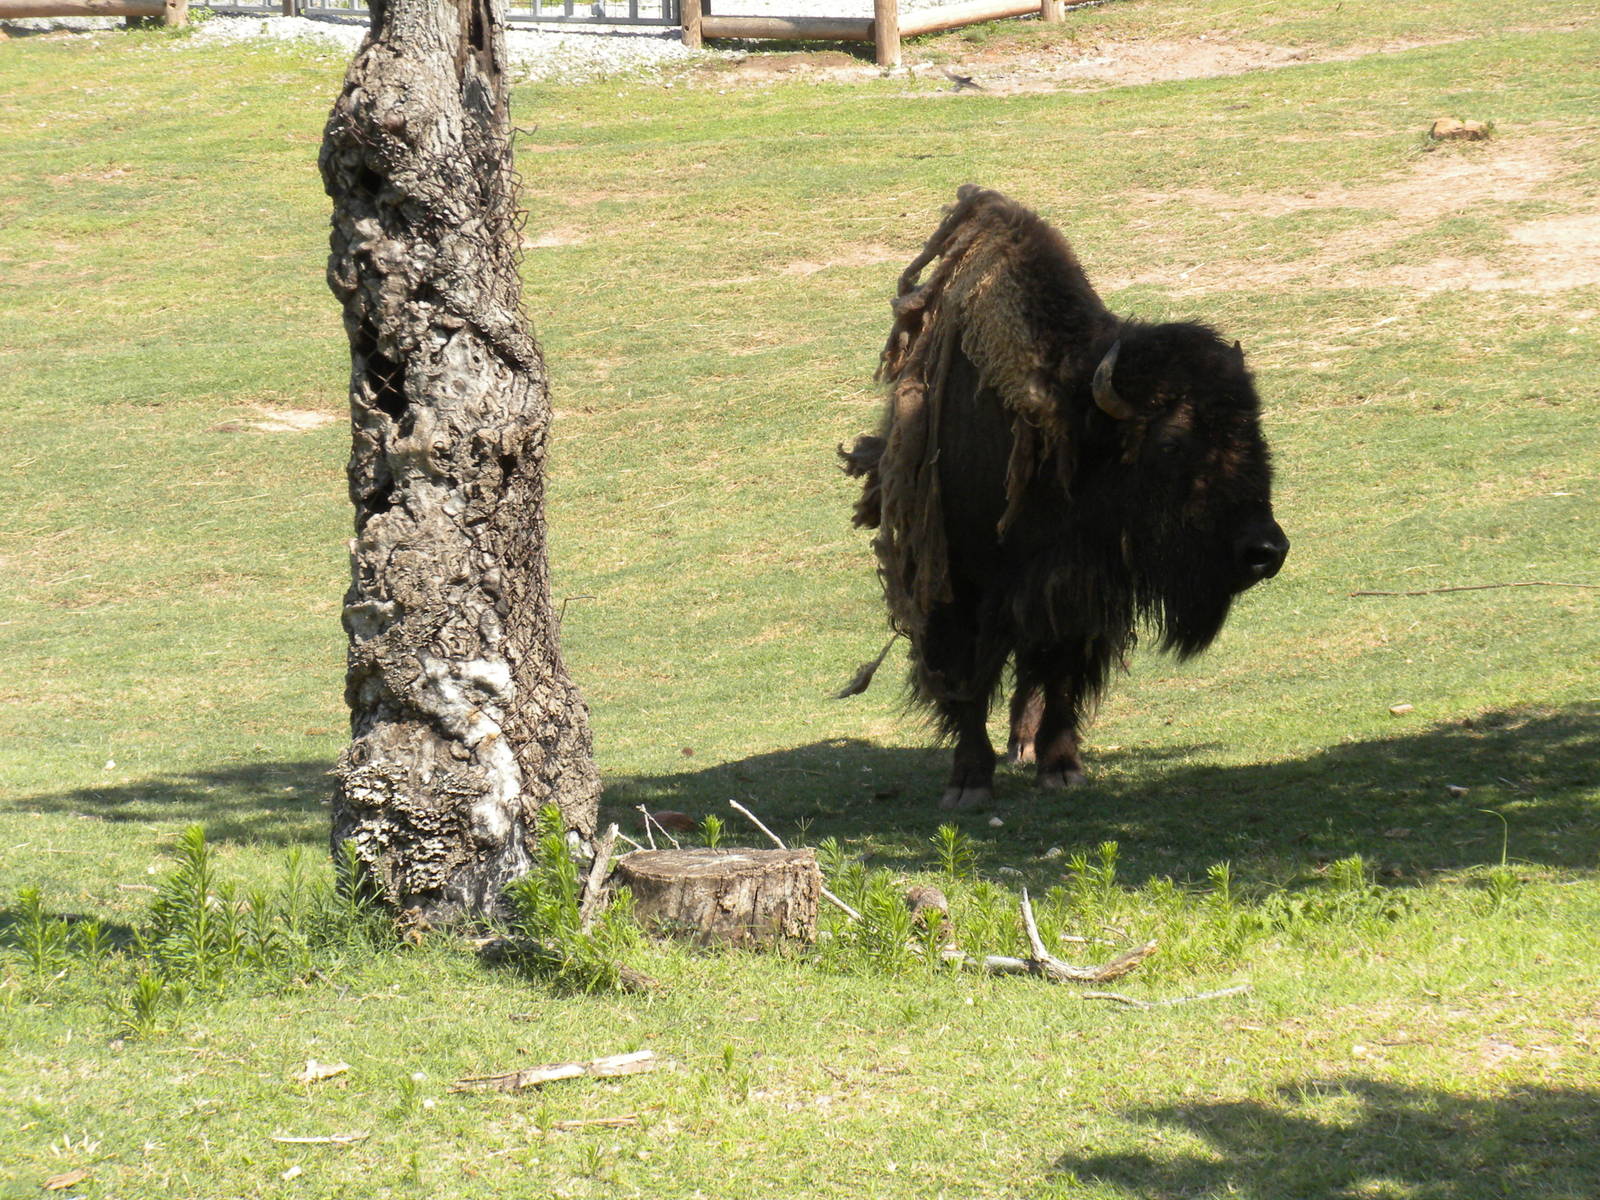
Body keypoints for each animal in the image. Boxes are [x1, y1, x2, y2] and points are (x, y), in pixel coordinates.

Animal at [842, 186, 1289, 809]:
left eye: (1254, 430)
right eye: (1171, 442)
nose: (1266, 551)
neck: (1068, 423)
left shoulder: (1075, 587)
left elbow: (1059, 671)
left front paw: (1060, 767)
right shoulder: (963, 589)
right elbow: (969, 680)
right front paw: (968, 782)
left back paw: (1026, 744)